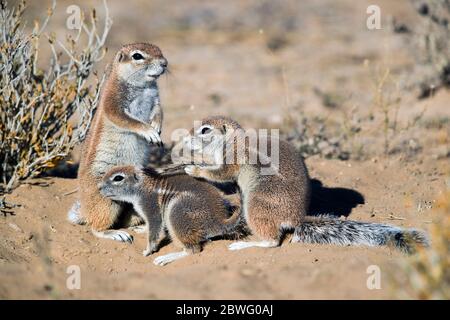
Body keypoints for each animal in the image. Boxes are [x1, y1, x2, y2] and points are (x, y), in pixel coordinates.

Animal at [68, 43, 169, 242]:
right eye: (137, 56)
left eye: (159, 50)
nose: (164, 63)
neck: (144, 86)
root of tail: (84, 211)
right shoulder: (113, 101)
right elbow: (127, 120)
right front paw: (149, 131)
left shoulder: (155, 99)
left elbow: (159, 111)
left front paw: (157, 126)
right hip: (107, 202)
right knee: (95, 227)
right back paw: (116, 233)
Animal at [97, 165, 243, 264]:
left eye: (118, 178)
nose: (99, 188)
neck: (142, 187)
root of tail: (220, 221)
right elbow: (149, 227)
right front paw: (141, 228)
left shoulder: (151, 208)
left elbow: (154, 230)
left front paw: (148, 250)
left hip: (176, 212)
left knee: (193, 250)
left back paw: (167, 257)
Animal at [168, 116, 428, 254]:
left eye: (205, 130)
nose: (185, 138)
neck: (234, 140)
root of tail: (296, 217)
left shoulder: (233, 159)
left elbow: (221, 173)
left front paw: (194, 168)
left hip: (256, 205)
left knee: (272, 241)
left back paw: (244, 245)